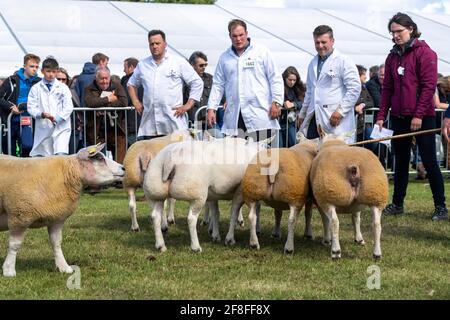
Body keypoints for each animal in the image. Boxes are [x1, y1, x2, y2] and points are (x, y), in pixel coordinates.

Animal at [0, 144, 125, 276]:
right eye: (99, 158)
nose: (124, 168)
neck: (68, 172)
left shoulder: (57, 219)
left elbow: (56, 243)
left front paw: (64, 267)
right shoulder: (19, 215)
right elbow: (15, 245)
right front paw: (9, 270)